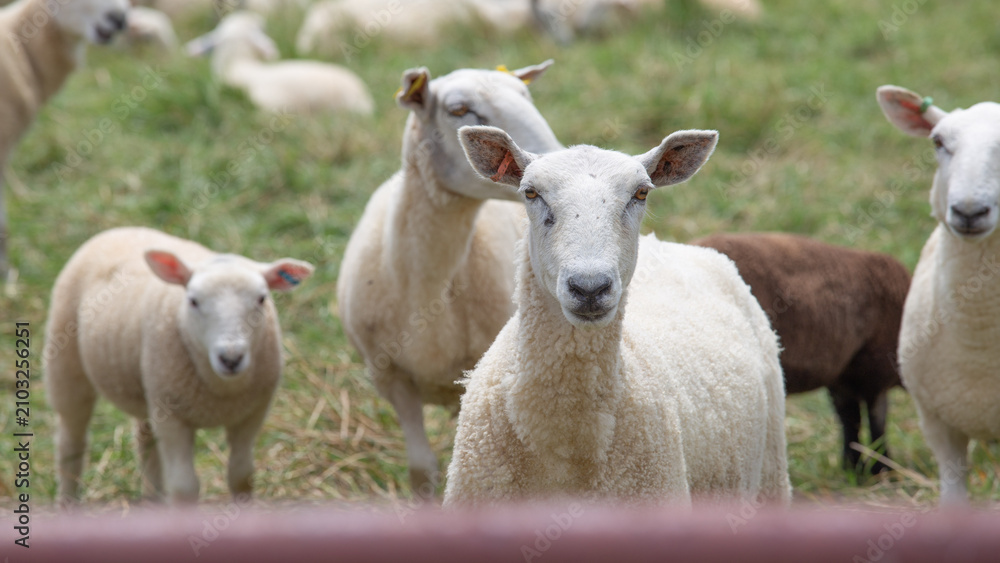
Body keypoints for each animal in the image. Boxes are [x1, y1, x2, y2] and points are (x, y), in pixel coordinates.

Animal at [44, 226, 314, 504]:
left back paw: (152, 501)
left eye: (261, 299)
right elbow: (184, 487)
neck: (221, 392)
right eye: (193, 301)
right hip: (66, 364)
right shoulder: (173, 418)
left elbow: (242, 476)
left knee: (146, 442)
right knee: (71, 443)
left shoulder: (252, 413)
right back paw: (68, 501)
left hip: (147, 391)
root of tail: (121, 229)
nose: (231, 358)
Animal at [443, 126, 791, 507]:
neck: (565, 439)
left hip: (772, 471)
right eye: (530, 192)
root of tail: (669, 244)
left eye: (641, 192)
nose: (589, 287)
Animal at [691, 232, 910, 474]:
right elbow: (874, 420)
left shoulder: (844, 375)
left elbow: (850, 418)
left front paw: (854, 469)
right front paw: (881, 470)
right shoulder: (874, 368)